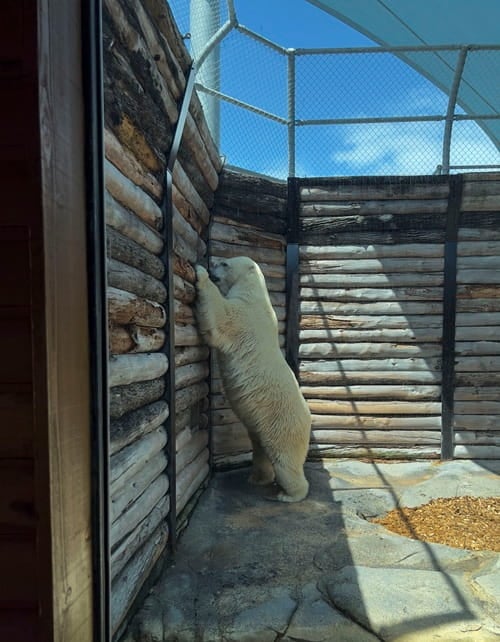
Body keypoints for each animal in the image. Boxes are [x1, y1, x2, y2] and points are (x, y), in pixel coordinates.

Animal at [195, 256, 311, 503]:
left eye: (225, 263)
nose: (211, 264)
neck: (255, 291)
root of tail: (309, 420)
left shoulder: (245, 315)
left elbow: (221, 315)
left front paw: (201, 274)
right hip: (262, 427)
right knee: (261, 450)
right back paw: (257, 478)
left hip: (282, 424)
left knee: (286, 461)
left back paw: (289, 495)